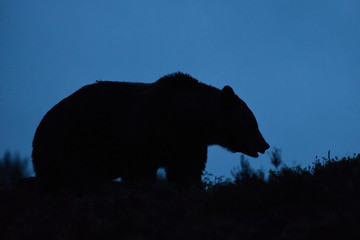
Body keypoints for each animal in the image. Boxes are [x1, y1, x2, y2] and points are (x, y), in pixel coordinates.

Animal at [32, 71, 268, 189]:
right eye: (252, 123)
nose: (265, 145)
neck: (186, 118)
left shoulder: (189, 143)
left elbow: (187, 170)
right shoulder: (147, 131)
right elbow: (141, 167)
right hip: (71, 140)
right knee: (75, 173)